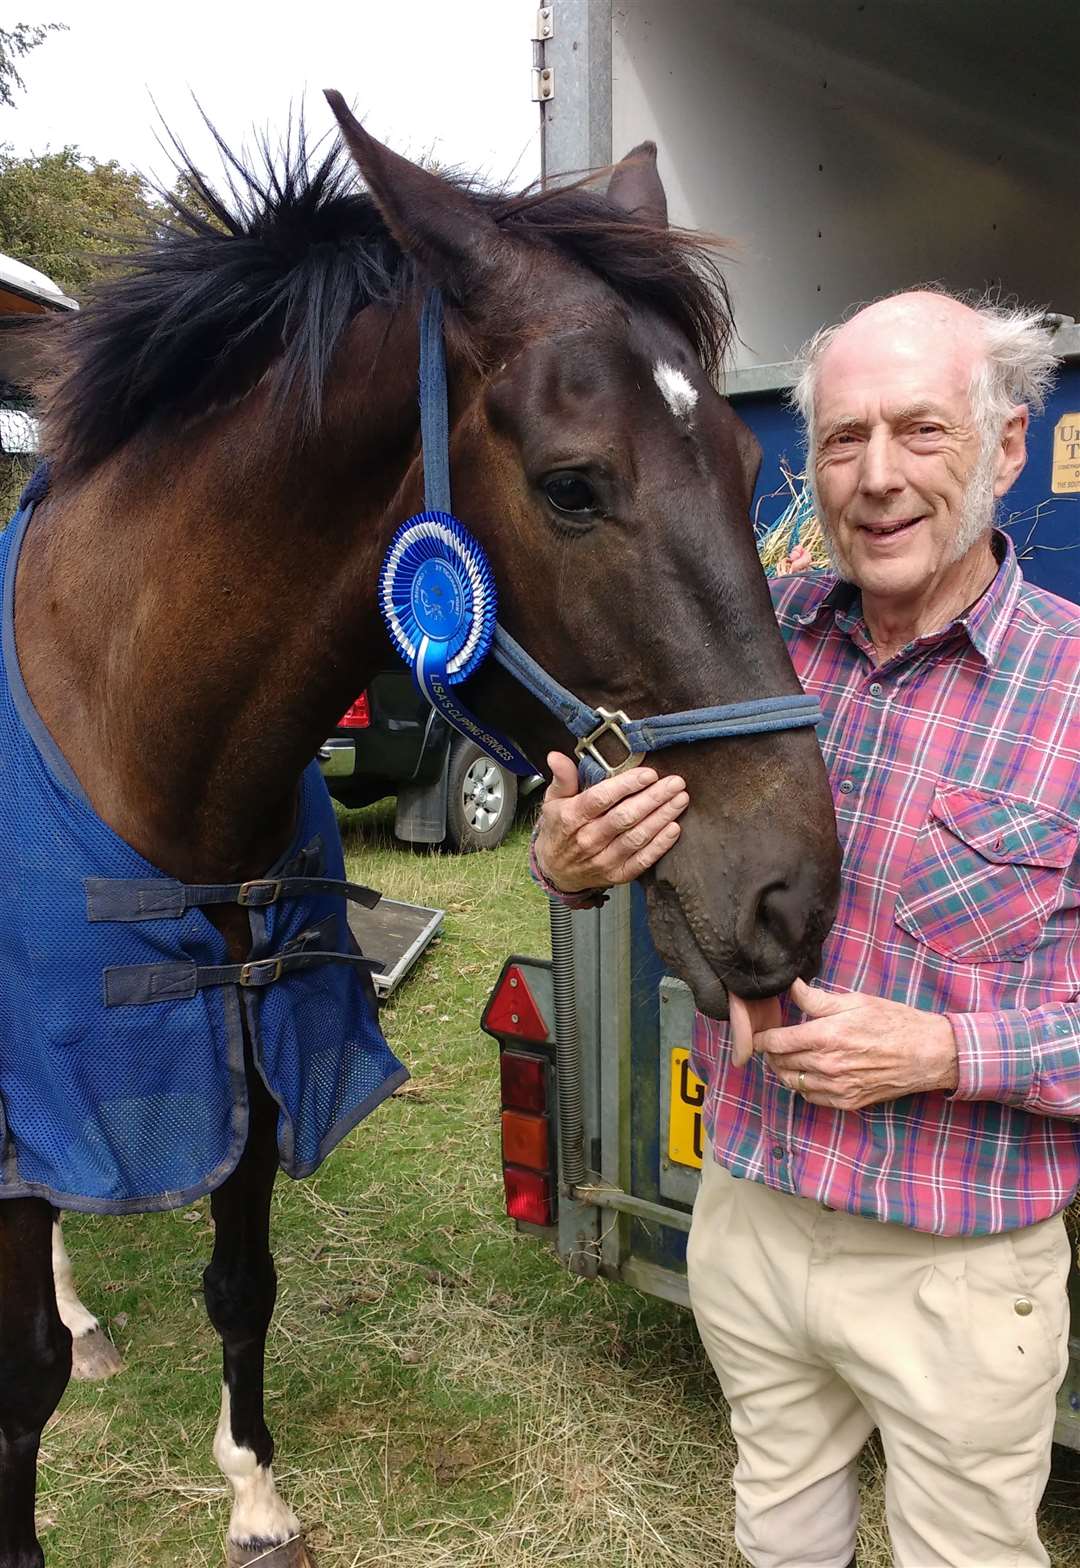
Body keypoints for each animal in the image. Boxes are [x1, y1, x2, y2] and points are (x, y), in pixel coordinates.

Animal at [0, 91, 840, 1561]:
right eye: (572, 485)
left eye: (749, 463)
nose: (791, 893)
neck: (137, 747)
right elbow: (24, 1367)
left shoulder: (256, 1039)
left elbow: (242, 1281)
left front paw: (256, 1493)